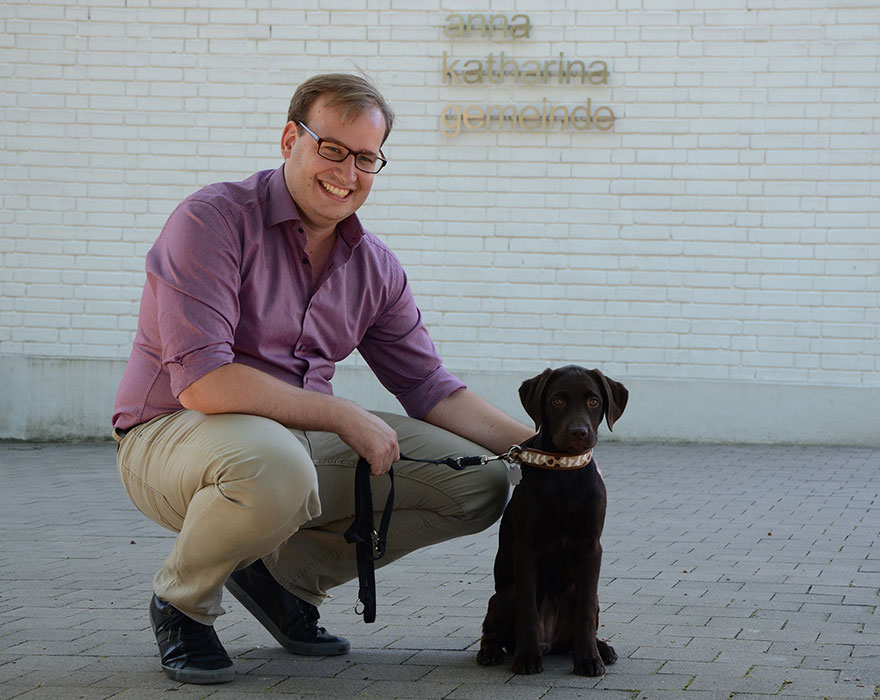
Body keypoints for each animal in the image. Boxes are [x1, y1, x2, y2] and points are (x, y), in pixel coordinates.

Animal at [474, 364, 624, 676]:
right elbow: (528, 609)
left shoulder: (591, 546)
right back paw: (492, 651)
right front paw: (527, 658)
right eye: (558, 401)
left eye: (594, 401)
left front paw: (589, 659)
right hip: (503, 596)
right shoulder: (526, 547)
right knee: (493, 629)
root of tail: (551, 642)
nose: (579, 432)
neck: (565, 470)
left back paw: (601, 648)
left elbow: (585, 611)